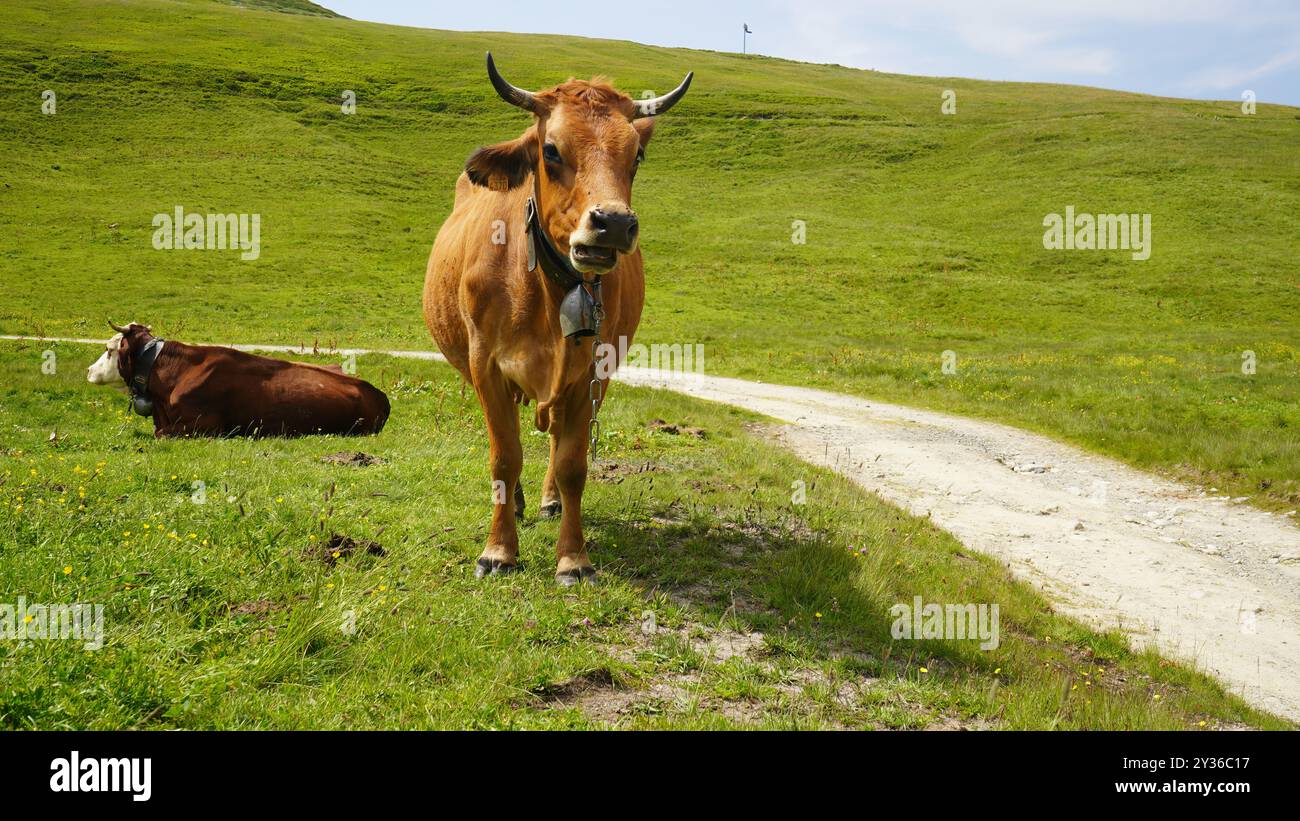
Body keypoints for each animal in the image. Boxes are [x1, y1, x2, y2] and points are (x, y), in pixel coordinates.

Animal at [423, 52, 691, 584]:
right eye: (550, 150)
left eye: (636, 156)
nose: (613, 223)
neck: (548, 292)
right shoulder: (486, 366)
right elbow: (504, 457)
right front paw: (498, 551)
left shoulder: (593, 374)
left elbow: (572, 465)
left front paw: (573, 558)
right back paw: (520, 503)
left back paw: (547, 501)